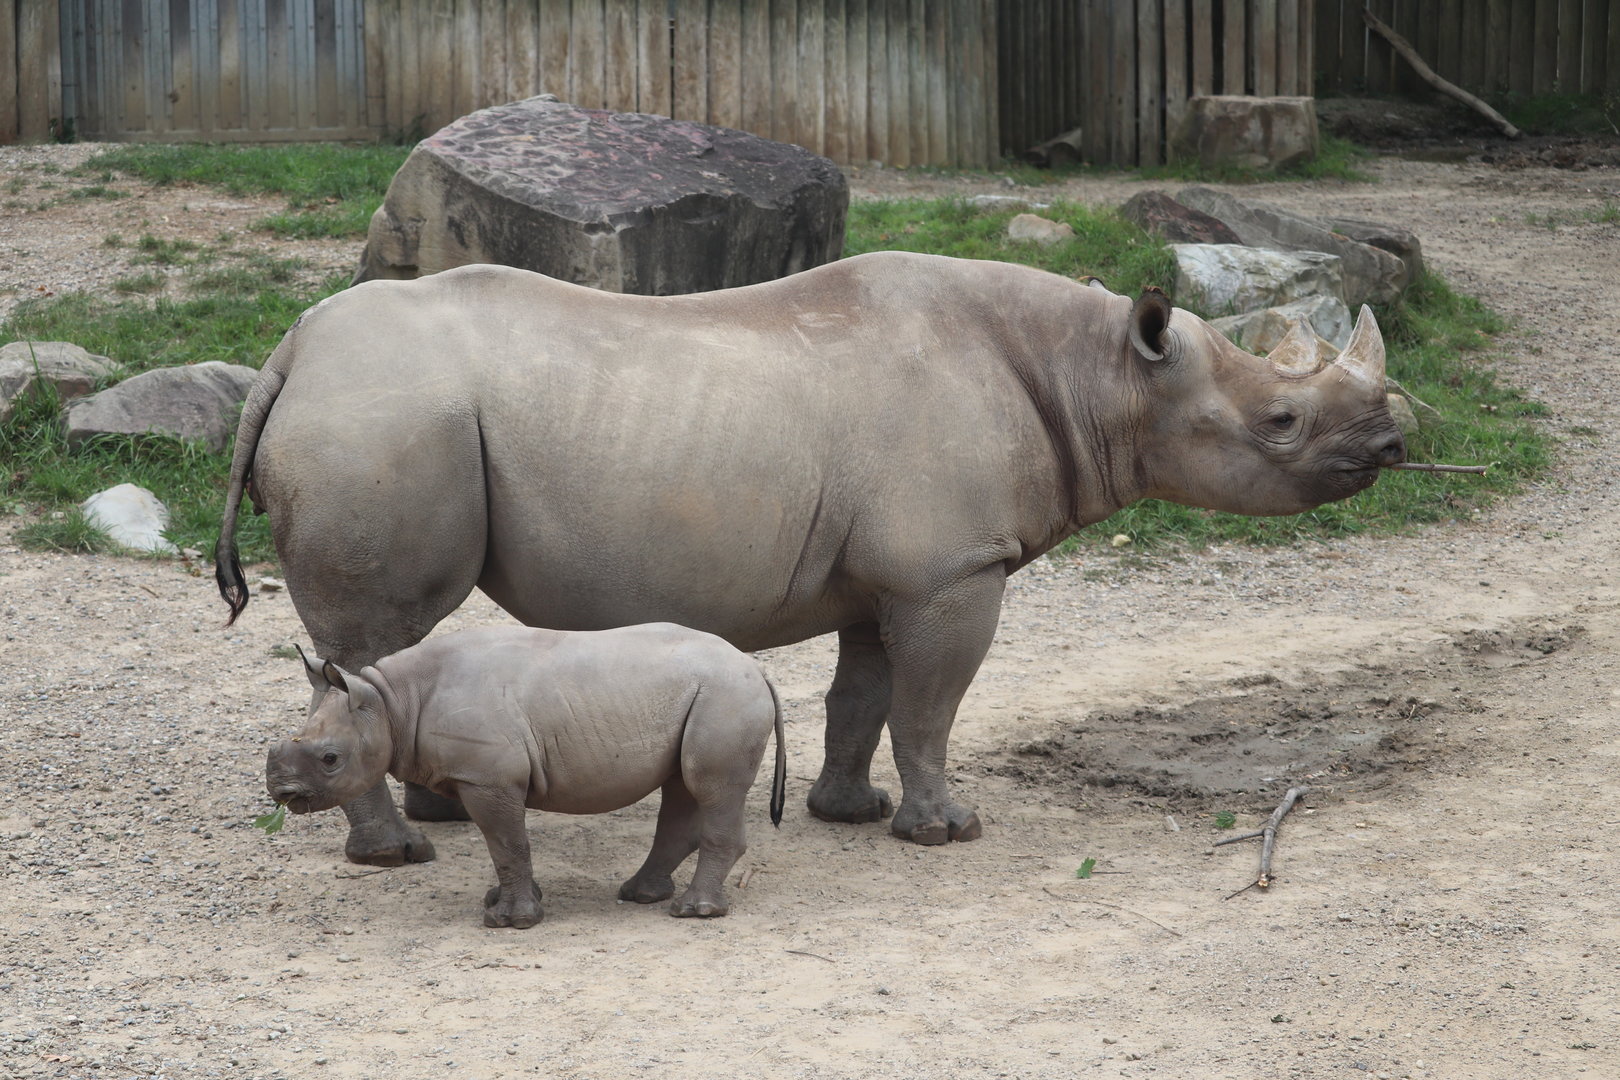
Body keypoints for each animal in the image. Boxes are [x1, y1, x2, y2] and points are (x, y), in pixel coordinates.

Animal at [217, 252, 1403, 865]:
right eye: (1284, 421)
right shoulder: (953, 569)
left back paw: (446, 819)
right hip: (379, 422)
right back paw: (398, 854)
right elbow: (932, 704)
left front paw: (852, 814)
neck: (1103, 375)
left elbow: (865, 697)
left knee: (389, 644)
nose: (1396, 442)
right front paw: (947, 833)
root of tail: (288, 352)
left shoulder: (895, 576)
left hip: (375, 416)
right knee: (369, 638)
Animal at [267, 623, 786, 927]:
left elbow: (506, 843)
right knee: (682, 788)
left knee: (709, 788)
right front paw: (500, 899)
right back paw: (641, 896)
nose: (280, 792)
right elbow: (504, 845)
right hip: (706, 694)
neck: (391, 703)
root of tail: (757, 669)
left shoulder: (488, 777)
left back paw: (694, 913)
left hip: (725, 696)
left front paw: (511, 921)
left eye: (330, 759)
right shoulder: (479, 776)